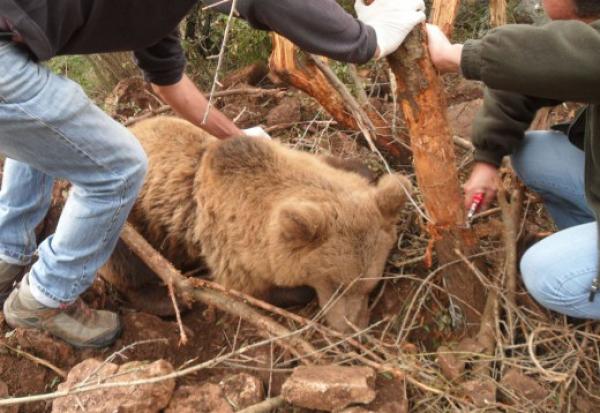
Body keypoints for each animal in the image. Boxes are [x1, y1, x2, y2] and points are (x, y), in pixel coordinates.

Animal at [104, 116, 412, 332]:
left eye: (370, 285)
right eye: (336, 284)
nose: (351, 328)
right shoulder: (230, 247)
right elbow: (253, 289)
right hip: (130, 217)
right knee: (126, 260)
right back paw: (169, 300)